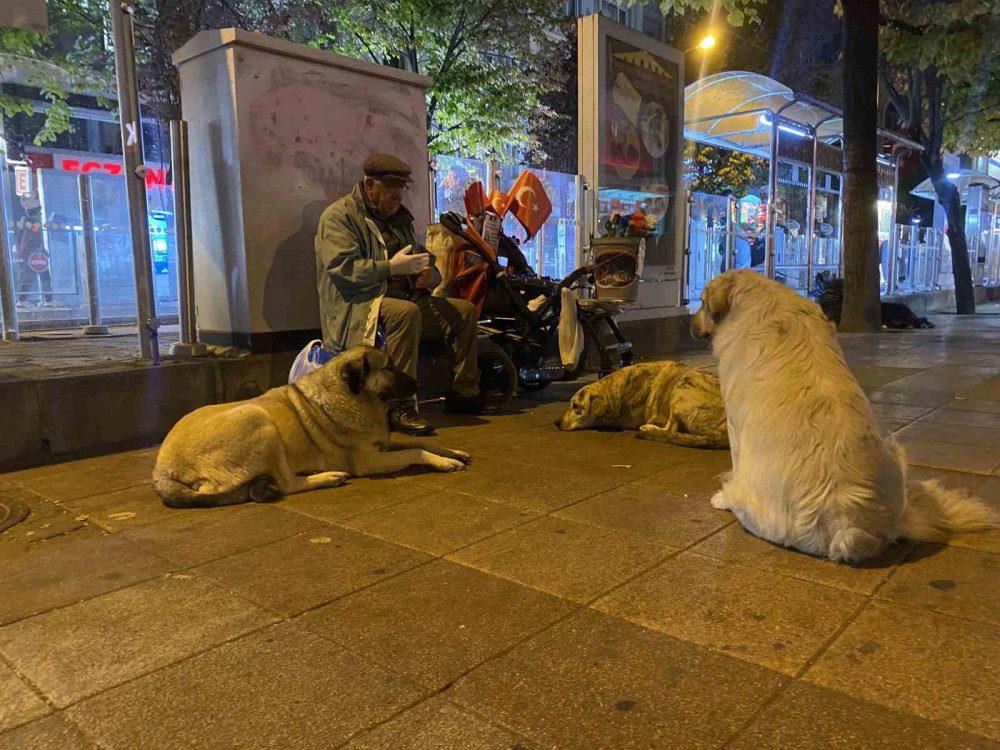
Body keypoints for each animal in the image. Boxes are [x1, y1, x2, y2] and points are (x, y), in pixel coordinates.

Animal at [152, 346, 472, 512]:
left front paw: (452, 451)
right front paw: (444, 463)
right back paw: (328, 477)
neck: (353, 395)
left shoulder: (381, 446)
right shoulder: (369, 460)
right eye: (388, 367)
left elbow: (422, 444)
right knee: (287, 484)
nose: (418, 384)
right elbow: (416, 451)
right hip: (258, 419)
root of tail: (162, 472)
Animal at [692, 272, 996, 564]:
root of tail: (849, 527)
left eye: (702, 303)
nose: (692, 326)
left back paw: (724, 497)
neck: (761, 294)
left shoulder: (735, 426)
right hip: (895, 451)